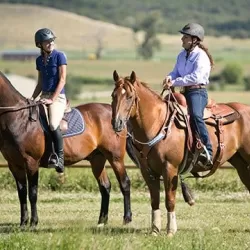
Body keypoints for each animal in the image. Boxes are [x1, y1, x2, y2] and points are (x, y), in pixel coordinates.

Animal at [0, 71, 138, 229]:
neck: (20, 119)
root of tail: (117, 116)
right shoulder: (14, 165)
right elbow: (22, 193)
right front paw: (23, 222)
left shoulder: (31, 162)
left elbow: (32, 193)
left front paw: (33, 222)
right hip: (97, 159)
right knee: (105, 186)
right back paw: (102, 221)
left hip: (115, 158)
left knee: (124, 183)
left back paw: (127, 218)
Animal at [112, 70, 250, 236]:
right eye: (113, 95)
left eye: (130, 96)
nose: (117, 123)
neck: (157, 123)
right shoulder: (147, 171)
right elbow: (154, 200)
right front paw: (155, 230)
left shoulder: (170, 169)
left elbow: (170, 200)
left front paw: (170, 231)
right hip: (241, 164)